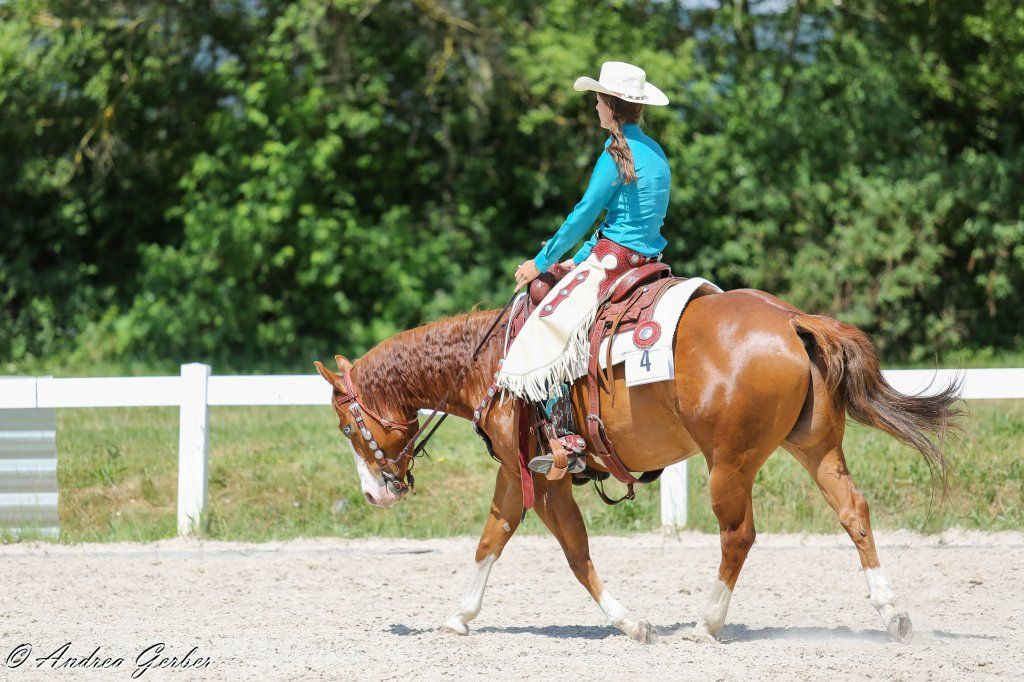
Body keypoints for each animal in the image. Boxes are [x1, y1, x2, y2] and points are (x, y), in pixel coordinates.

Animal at [313, 288, 962, 644]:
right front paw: (460, 616)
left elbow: (574, 554)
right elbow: (491, 538)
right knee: (854, 511)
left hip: (729, 463)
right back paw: (892, 613)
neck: (492, 365)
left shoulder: (542, 479)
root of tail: (791, 320)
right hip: (817, 448)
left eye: (345, 427)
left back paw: (706, 623)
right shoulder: (517, 476)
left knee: (738, 535)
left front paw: (631, 623)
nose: (374, 494)